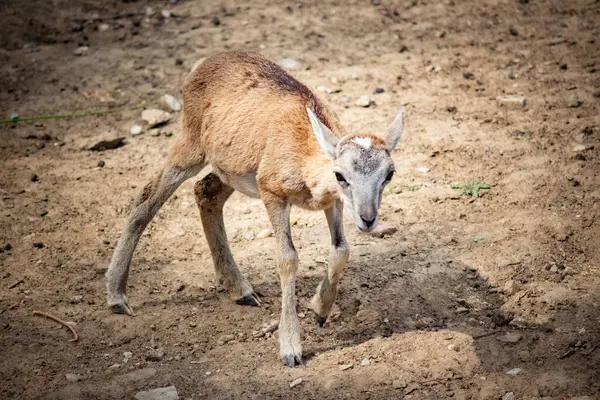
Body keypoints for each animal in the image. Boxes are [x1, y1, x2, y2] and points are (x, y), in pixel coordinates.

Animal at [105, 51, 406, 368]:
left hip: (230, 169)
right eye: (340, 175)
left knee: (205, 192)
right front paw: (291, 350)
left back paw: (242, 291)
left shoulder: (333, 202)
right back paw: (117, 297)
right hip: (190, 149)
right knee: (146, 199)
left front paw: (319, 312)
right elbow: (287, 258)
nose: (368, 219)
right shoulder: (272, 192)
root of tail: (202, 63)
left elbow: (341, 250)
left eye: (389, 174)